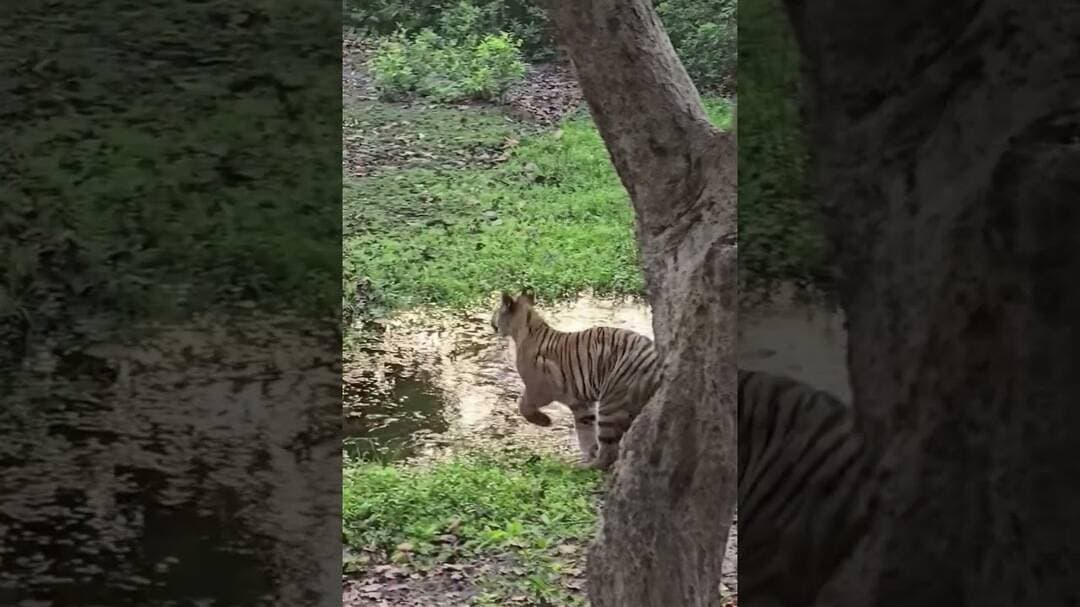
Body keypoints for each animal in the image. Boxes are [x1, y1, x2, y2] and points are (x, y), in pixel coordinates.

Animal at [490, 289, 663, 470]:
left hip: (611, 404)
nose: (491, 322)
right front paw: (590, 451)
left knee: (608, 453)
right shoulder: (580, 403)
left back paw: (583, 468)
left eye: (496, 311)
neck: (526, 328)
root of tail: (654, 358)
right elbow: (585, 431)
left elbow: (523, 406)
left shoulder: (539, 390)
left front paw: (545, 422)